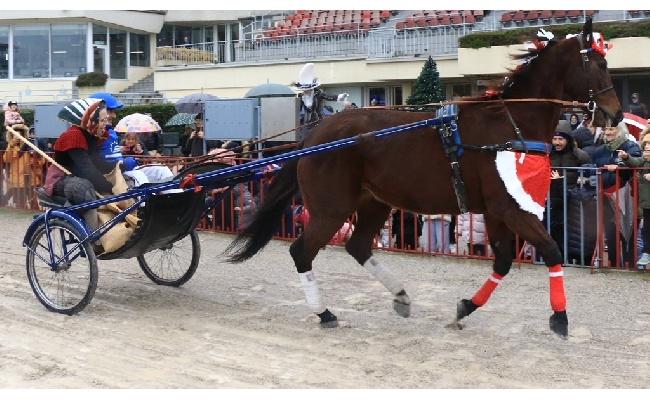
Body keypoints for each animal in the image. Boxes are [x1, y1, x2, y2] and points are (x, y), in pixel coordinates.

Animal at [225, 18, 620, 338]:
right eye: (600, 63)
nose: (615, 114)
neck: (508, 124)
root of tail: (313, 136)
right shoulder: (511, 208)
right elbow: (552, 250)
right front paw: (560, 318)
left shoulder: (496, 211)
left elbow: (504, 261)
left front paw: (465, 307)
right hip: (331, 208)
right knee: (302, 251)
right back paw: (324, 312)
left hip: (374, 202)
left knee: (358, 246)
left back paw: (400, 295)